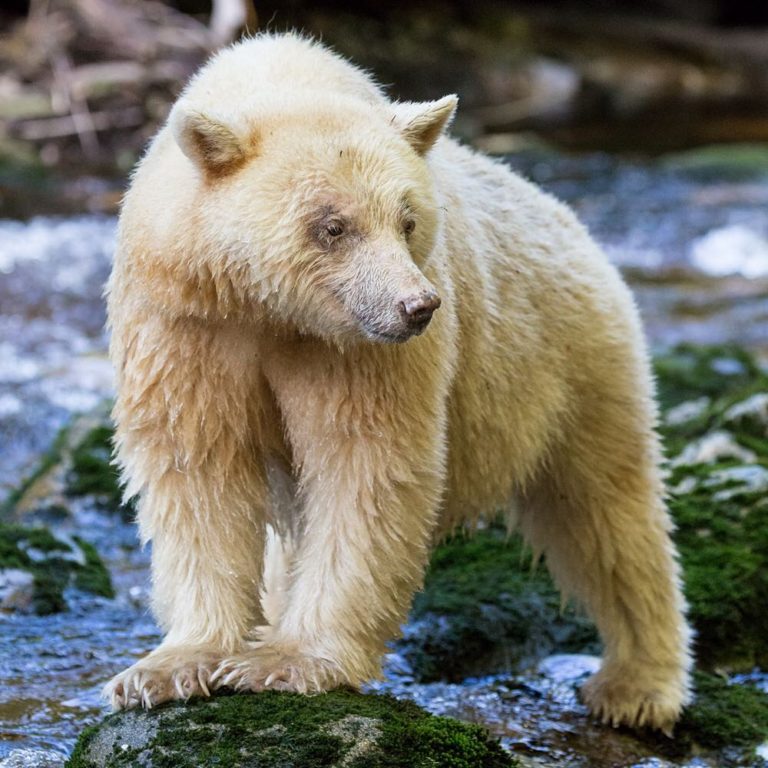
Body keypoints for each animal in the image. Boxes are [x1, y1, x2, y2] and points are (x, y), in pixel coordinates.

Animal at [105, 32, 692, 732]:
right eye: (332, 225)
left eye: (407, 220)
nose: (418, 305)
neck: (270, 310)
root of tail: (571, 220)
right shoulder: (187, 326)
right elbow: (195, 467)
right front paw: (170, 668)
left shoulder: (357, 354)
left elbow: (364, 466)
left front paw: (286, 661)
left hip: (570, 360)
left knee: (607, 511)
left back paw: (637, 686)